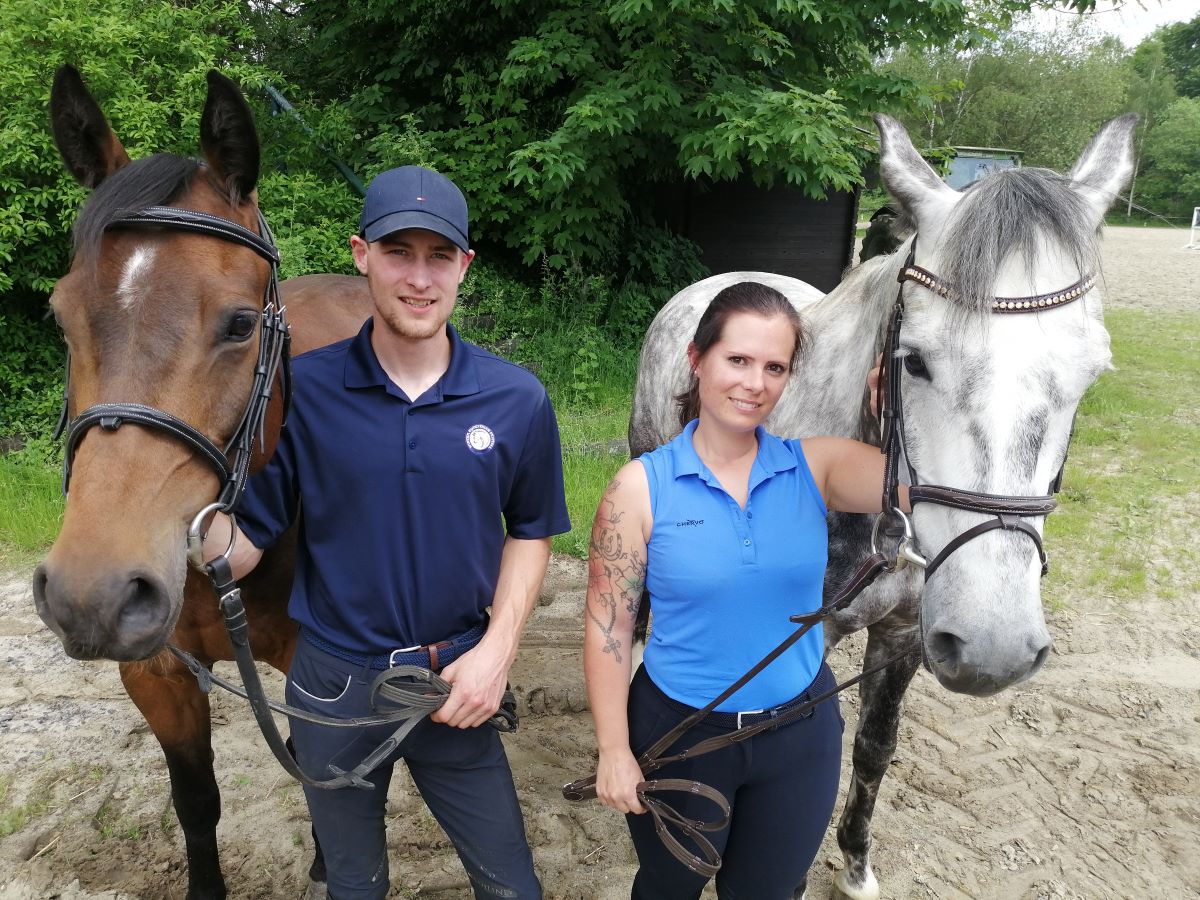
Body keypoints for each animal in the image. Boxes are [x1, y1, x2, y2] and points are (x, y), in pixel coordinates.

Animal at [35, 66, 369, 897]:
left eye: (241, 323)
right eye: (60, 317)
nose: (91, 594)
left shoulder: (317, 669)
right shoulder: (155, 673)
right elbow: (196, 803)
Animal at [628, 114, 1132, 900]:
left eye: (1093, 374)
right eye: (913, 360)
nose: (996, 647)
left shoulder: (905, 639)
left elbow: (871, 749)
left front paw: (856, 863)